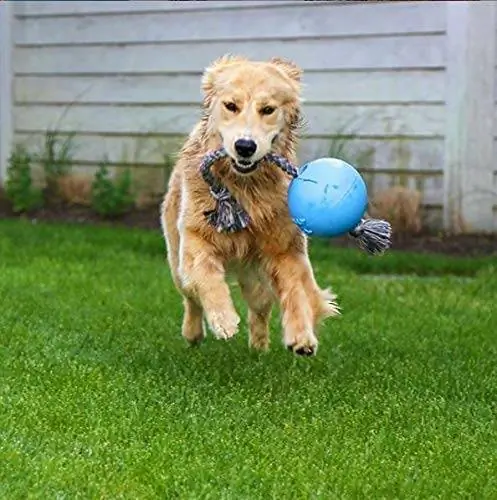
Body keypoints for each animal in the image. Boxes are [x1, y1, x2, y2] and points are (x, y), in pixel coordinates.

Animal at [161, 55, 340, 356]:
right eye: (231, 106)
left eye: (267, 109)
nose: (245, 146)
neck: (244, 187)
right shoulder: (196, 237)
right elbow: (206, 276)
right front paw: (223, 318)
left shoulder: (286, 248)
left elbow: (297, 290)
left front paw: (301, 336)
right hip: (176, 262)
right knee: (191, 298)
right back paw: (193, 333)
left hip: (256, 279)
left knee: (260, 309)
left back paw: (259, 347)